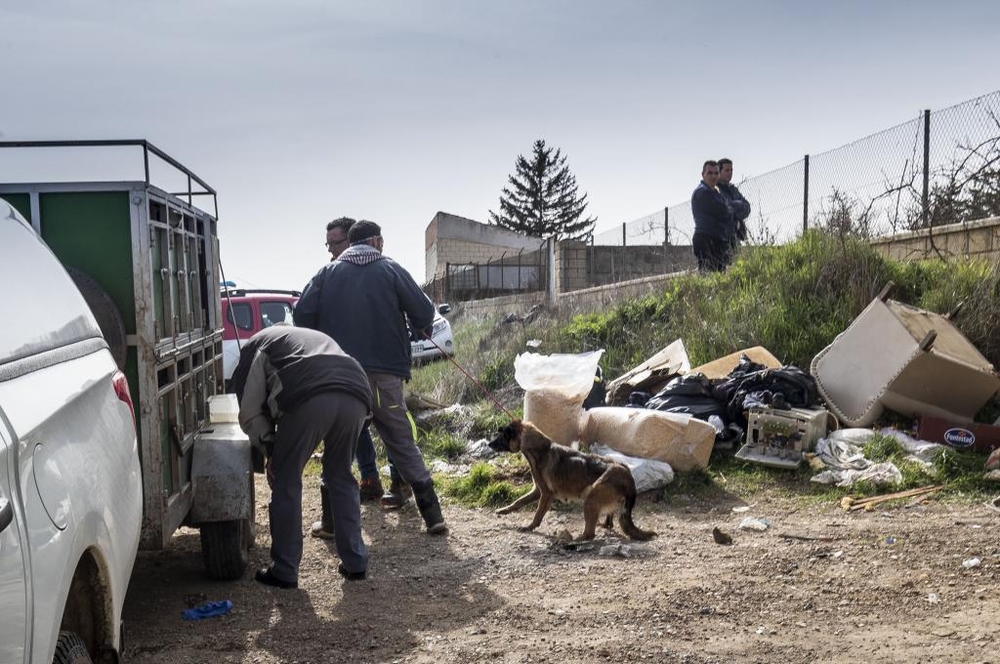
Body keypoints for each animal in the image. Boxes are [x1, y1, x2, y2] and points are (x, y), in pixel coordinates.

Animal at [486, 418, 656, 544]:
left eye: (501, 436)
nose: (488, 444)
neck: (539, 449)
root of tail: (627, 475)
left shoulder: (546, 494)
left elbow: (538, 513)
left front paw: (530, 527)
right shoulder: (537, 491)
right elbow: (518, 501)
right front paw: (504, 510)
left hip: (591, 497)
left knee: (590, 534)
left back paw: (574, 540)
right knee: (609, 522)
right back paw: (603, 525)